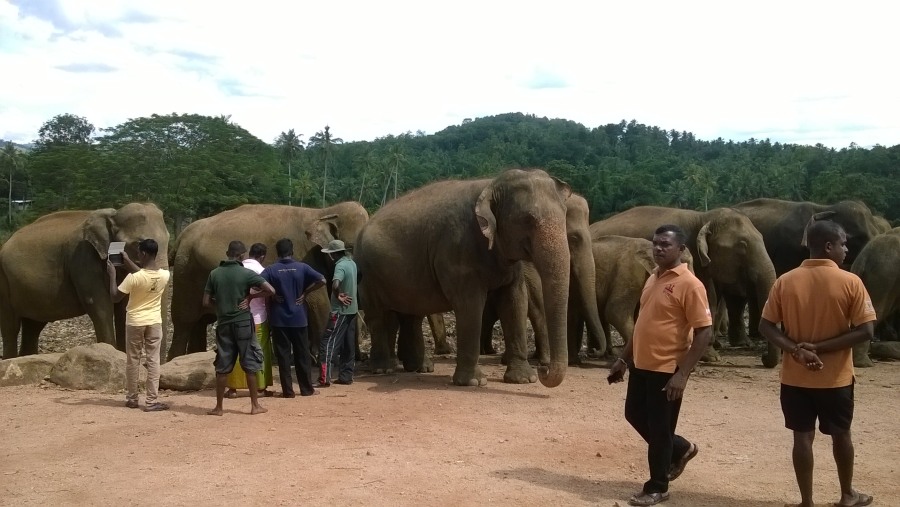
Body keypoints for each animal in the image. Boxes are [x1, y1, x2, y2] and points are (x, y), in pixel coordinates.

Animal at [0, 202, 171, 358]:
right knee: (11, 328)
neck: (112, 213)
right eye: (139, 244)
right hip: (4, 281)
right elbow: (99, 305)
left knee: (33, 326)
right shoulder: (83, 258)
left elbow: (123, 307)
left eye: (169, 239)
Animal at [167, 202, 368, 362]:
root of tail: (181, 236)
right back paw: (175, 360)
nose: (362, 357)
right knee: (184, 321)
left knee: (199, 323)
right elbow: (318, 302)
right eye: (350, 248)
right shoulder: (304, 256)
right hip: (185, 273)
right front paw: (321, 359)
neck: (324, 211)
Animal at [356, 169, 568, 386]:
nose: (543, 369)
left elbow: (515, 301)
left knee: (411, 315)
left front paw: (524, 379)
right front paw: (473, 382)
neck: (490, 184)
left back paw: (420, 368)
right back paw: (384, 369)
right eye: (528, 219)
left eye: (565, 215)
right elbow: (470, 305)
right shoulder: (456, 250)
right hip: (367, 274)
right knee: (379, 316)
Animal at [592, 207, 772, 366]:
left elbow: (708, 297)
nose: (764, 357)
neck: (703, 218)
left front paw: (709, 356)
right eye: (742, 245)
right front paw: (710, 357)